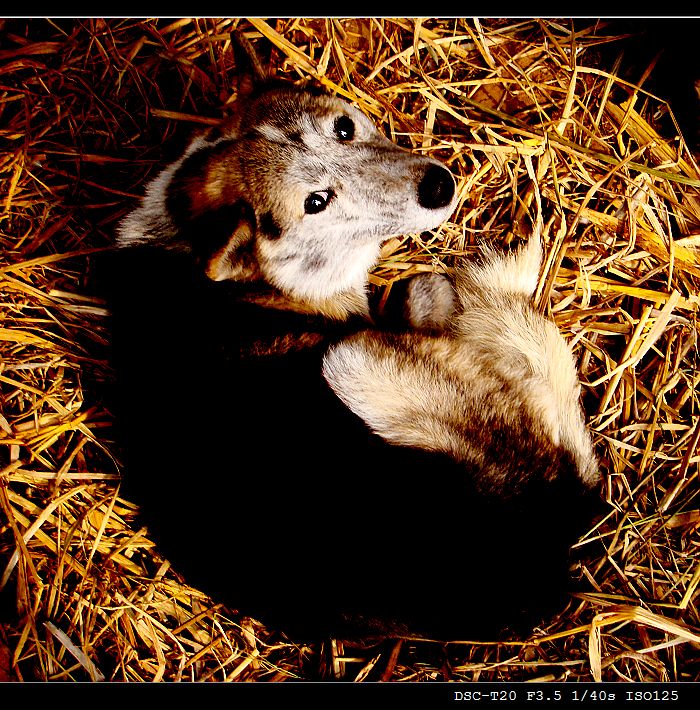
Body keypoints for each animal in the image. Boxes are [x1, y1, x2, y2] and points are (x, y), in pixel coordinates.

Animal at [105, 34, 600, 644]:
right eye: (316, 201)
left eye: (344, 128)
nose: (439, 186)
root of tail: (552, 535)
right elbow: (423, 293)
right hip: (351, 361)